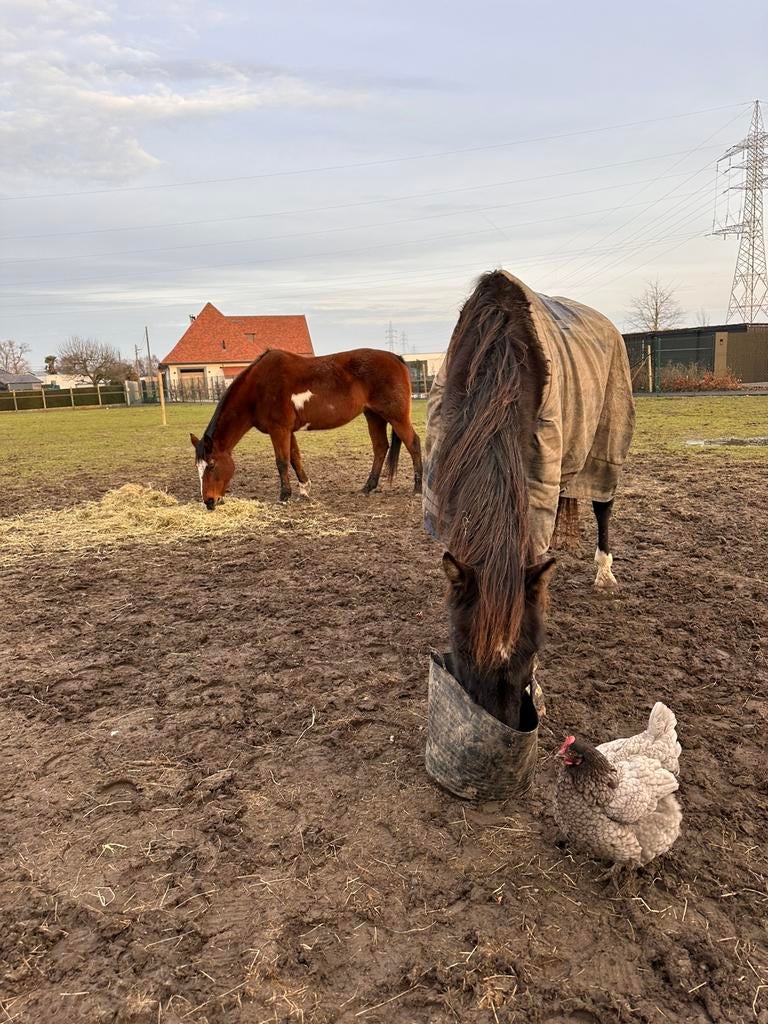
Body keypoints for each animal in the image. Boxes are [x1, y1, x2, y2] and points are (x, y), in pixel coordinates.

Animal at [190, 348, 423, 506]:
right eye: (198, 467)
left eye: (211, 465)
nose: (209, 502)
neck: (257, 388)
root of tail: (396, 358)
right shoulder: (287, 431)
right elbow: (295, 458)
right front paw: (304, 489)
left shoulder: (279, 430)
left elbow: (282, 462)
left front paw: (284, 496)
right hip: (373, 416)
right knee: (380, 447)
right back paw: (368, 487)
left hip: (396, 417)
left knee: (413, 444)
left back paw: (418, 488)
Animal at [425, 270, 635, 728]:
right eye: (463, 648)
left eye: (534, 648)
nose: (505, 722)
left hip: (605, 442)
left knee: (603, 506)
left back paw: (605, 573)